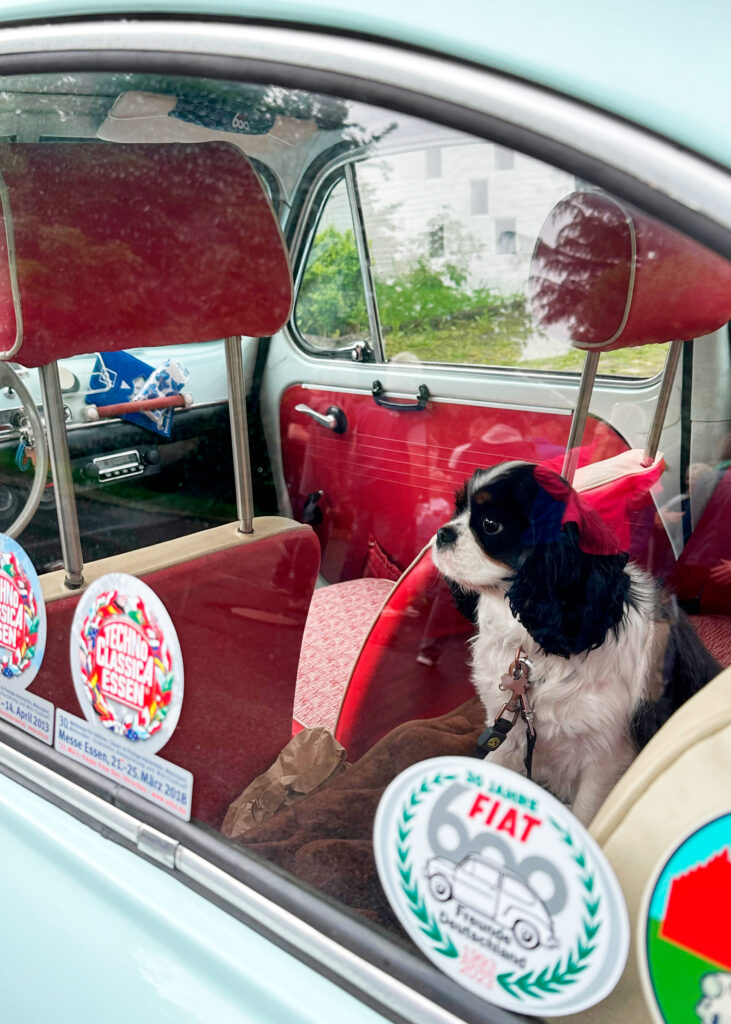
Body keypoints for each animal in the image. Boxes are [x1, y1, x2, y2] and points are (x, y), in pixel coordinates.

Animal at [432, 462, 716, 823]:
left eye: (490, 525)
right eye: (457, 510)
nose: (442, 533)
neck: (535, 648)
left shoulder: (605, 759)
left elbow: (585, 813)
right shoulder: (506, 730)